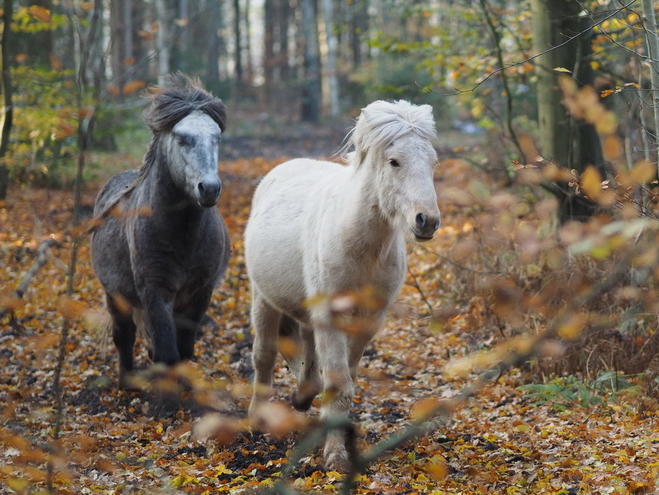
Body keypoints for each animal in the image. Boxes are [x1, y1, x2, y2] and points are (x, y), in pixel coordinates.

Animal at [245, 100, 440, 468]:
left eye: (432, 162)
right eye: (394, 161)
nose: (428, 221)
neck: (359, 246)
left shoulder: (367, 323)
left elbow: (343, 380)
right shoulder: (330, 316)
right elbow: (337, 383)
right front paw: (335, 455)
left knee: (307, 352)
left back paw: (303, 397)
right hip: (263, 299)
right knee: (263, 355)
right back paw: (255, 418)